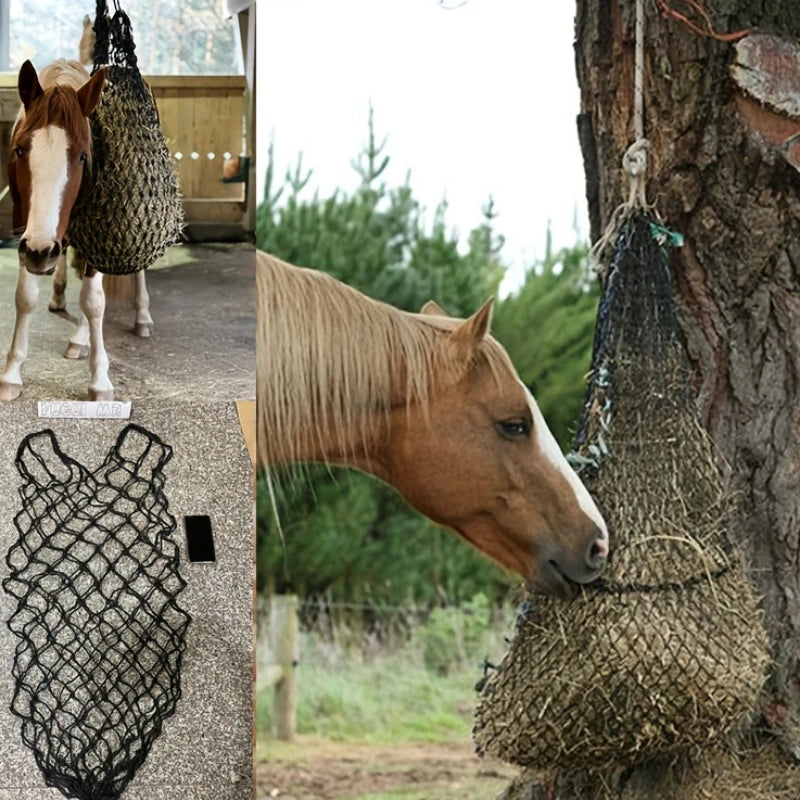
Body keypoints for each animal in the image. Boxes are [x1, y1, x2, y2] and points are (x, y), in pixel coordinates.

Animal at [1, 21, 155, 402]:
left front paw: (100, 380)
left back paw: (139, 318)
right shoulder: (25, 228)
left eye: (83, 156)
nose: (41, 251)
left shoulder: (96, 233)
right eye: (19, 150)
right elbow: (25, 297)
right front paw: (11, 373)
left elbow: (94, 301)